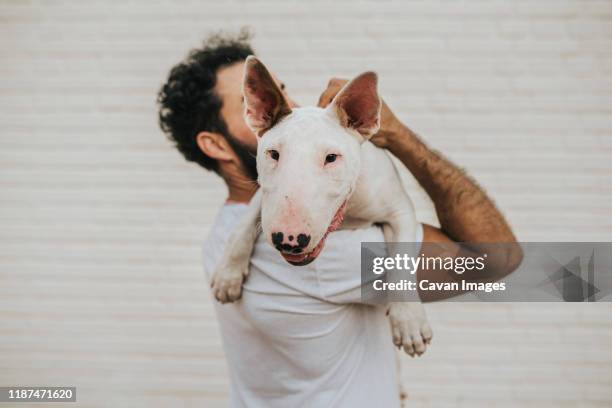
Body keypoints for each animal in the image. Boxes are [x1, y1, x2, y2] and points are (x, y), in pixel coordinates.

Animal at [213, 55, 432, 356]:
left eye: (331, 158)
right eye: (273, 153)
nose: (288, 239)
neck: (348, 211)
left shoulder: (399, 208)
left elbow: (401, 257)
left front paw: (409, 322)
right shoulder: (264, 193)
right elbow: (245, 221)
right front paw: (228, 274)